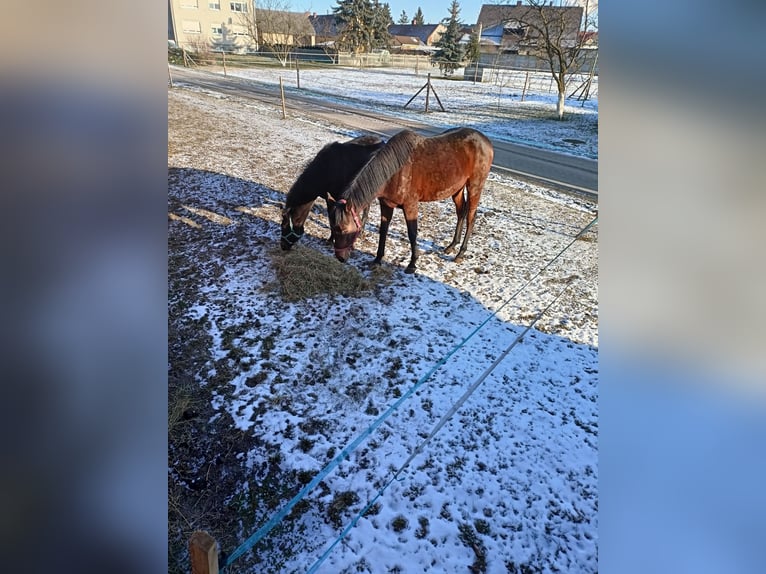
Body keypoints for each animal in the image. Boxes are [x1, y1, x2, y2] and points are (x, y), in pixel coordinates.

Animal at [328, 127, 494, 273]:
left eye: (343, 229)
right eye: (333, 227)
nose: (340, 258)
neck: (395, 172)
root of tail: (486, 141)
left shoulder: (410, 206)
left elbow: (412, 233)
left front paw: (412, 263)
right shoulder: (386, 205)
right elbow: (383, 230)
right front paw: (378, 259)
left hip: (474, 187)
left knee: (471, 217)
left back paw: (460, 253)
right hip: (456, 189)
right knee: (461, 212)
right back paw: (452, 246)